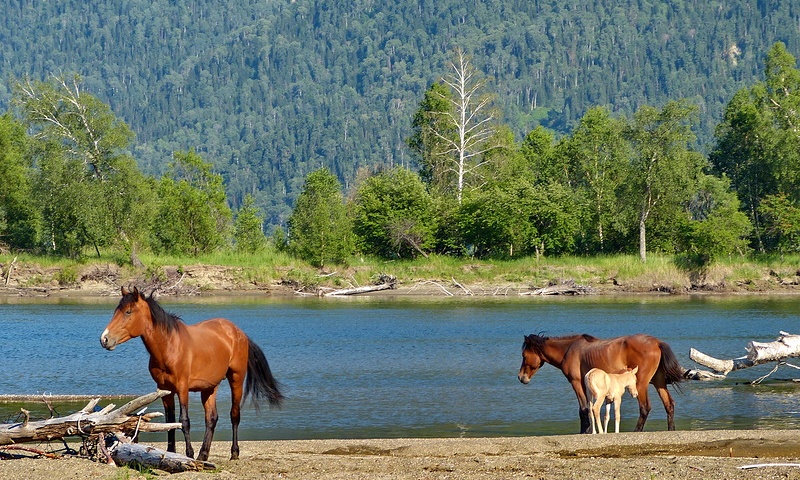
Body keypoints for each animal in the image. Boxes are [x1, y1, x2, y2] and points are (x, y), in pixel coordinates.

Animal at [99, 286, 282, 460]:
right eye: (116, 311)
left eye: (128, 312)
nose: (104, 339)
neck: (169, 346)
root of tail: (239, 333)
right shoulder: (165, 390)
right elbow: (170, 422)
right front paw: (170, 452)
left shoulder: (182, 388)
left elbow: (184, 421)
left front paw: (189, 454)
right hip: (209, 387)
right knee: (211, 418)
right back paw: (204, 454)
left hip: (236, 379)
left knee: (234, 415)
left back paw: (234, 453)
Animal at [520, 336, 684, 434]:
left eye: (524, 355)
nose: (521, 377)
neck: (570, 350)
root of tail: (657, 342)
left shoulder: (576, 382)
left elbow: (584, 409)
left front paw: (585, 431)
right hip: (659, 382)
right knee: (669, 404)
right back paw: (671, 429)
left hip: (641, 385)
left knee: (645, 407)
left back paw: (636, 431)